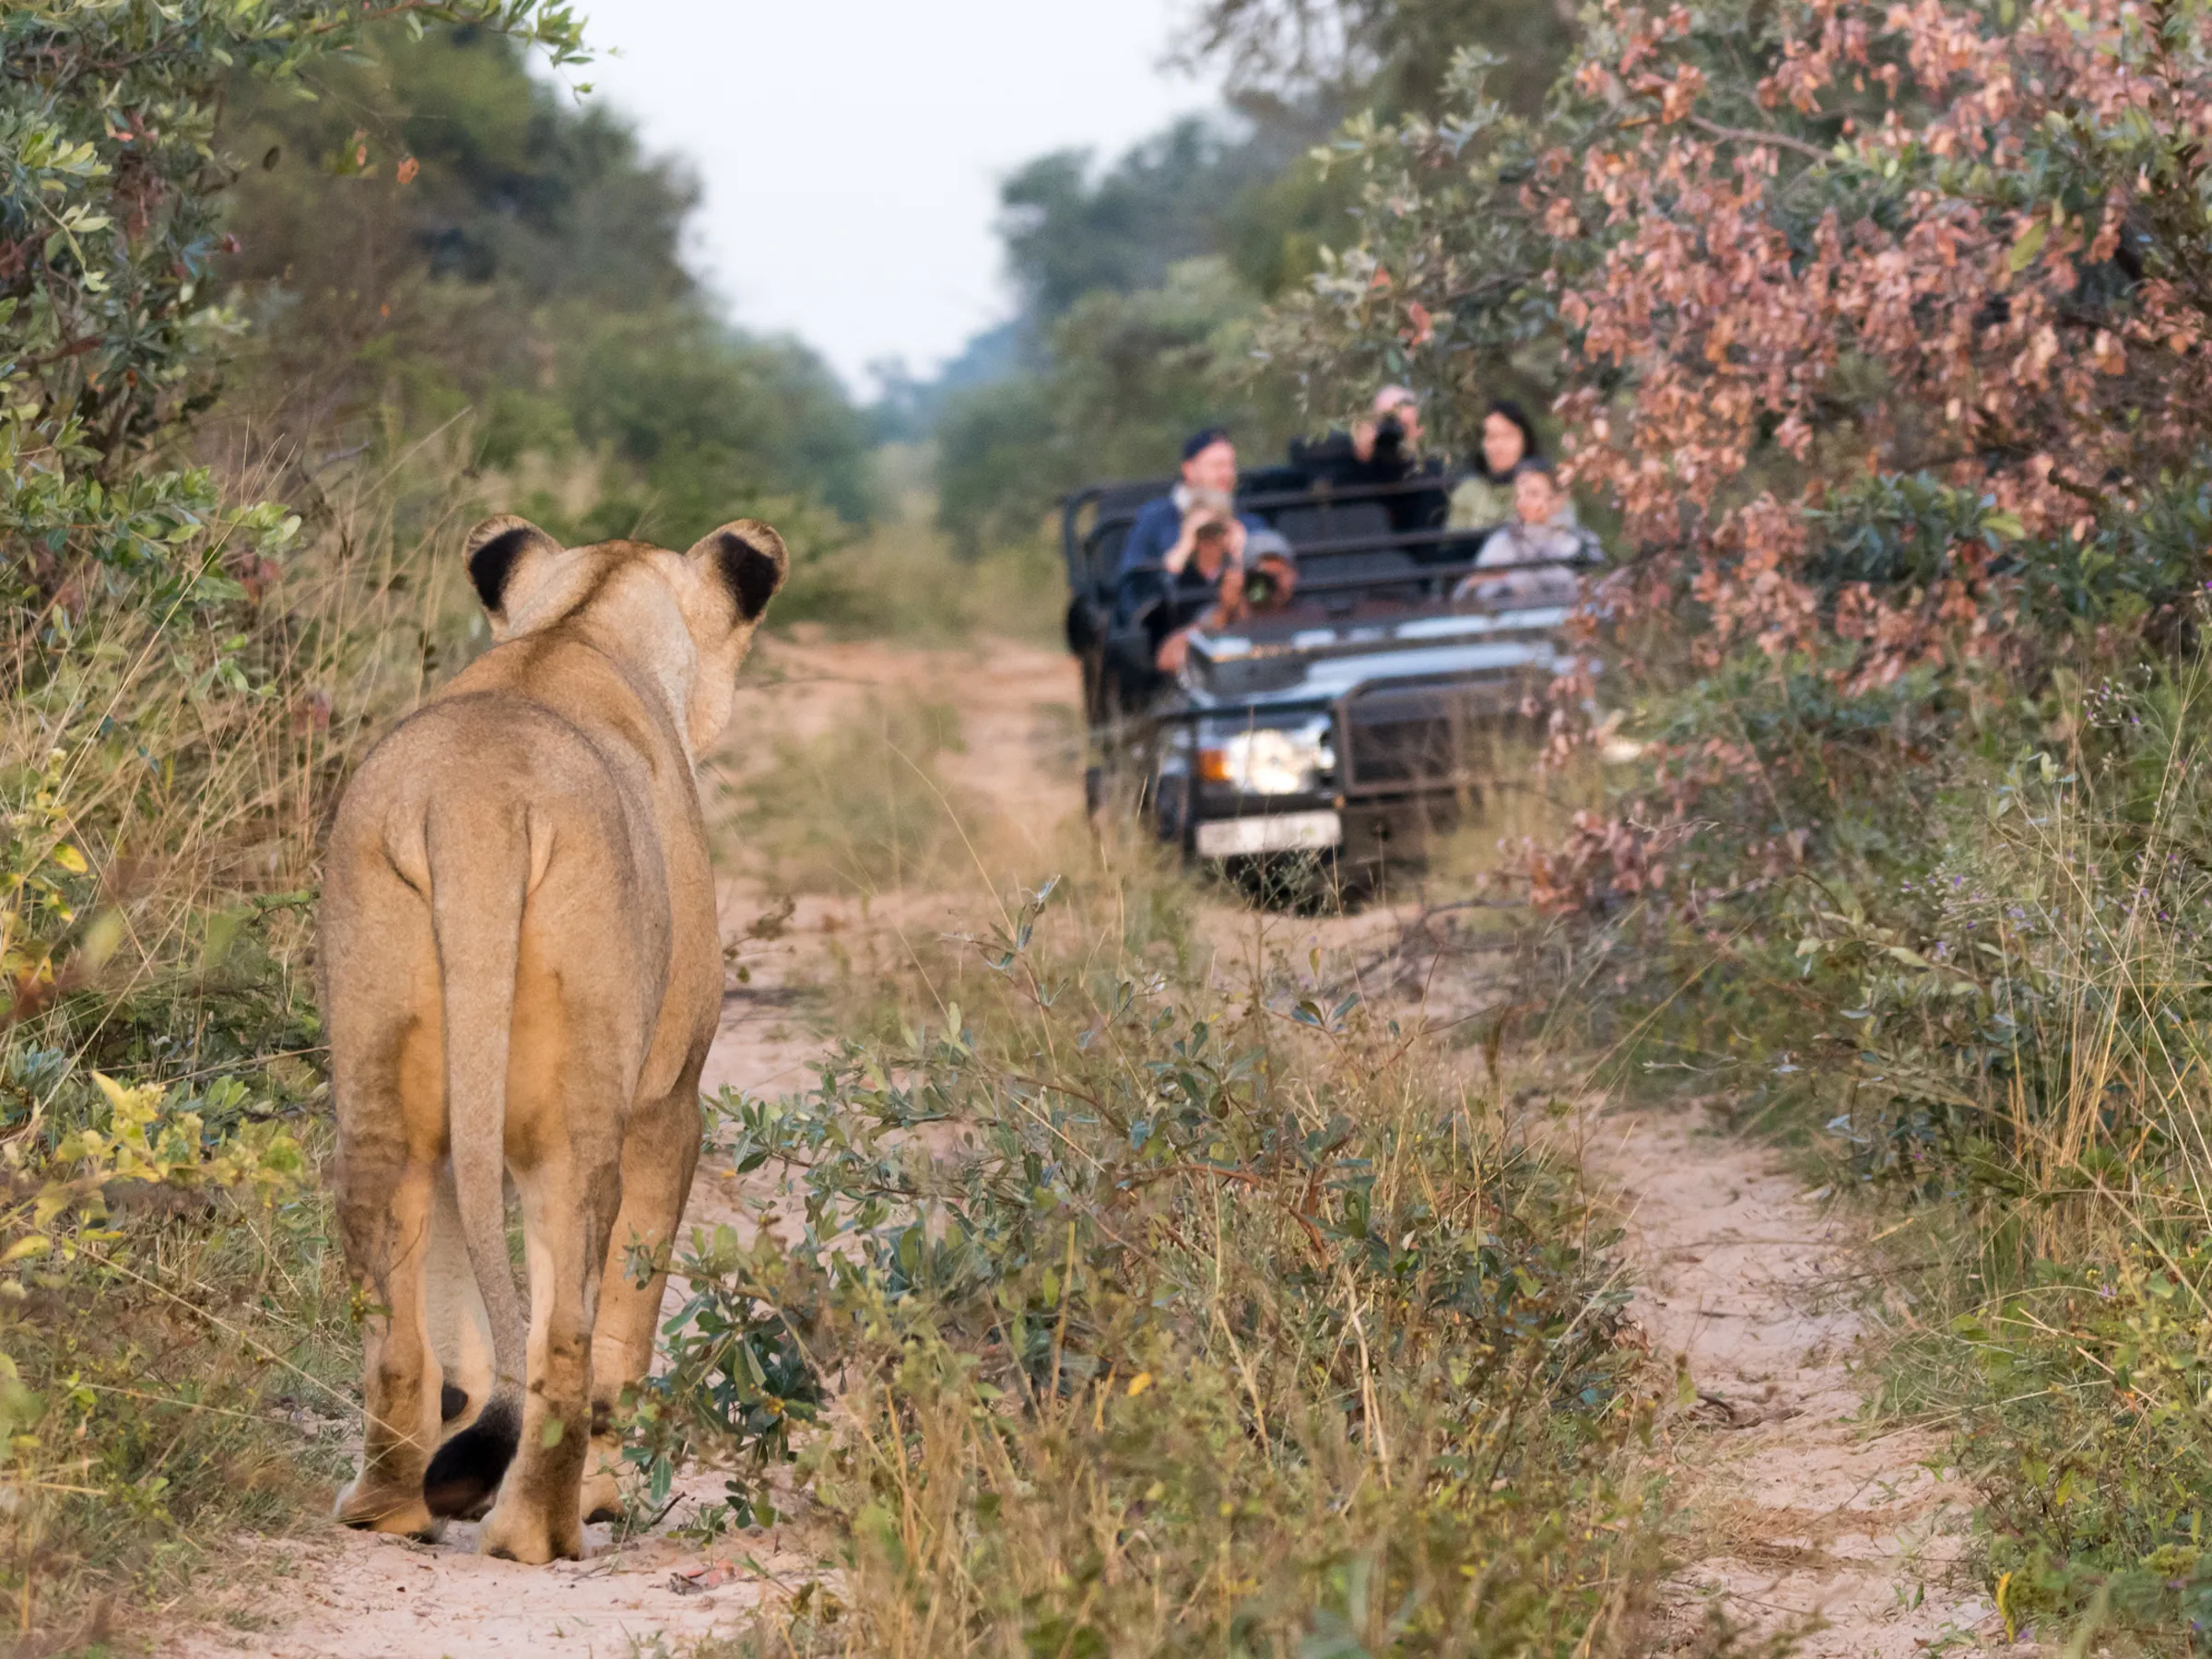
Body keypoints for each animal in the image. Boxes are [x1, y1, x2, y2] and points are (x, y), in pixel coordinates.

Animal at [319, 514, 786, 1563]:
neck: (581, 622)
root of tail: (476, 801)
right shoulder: (669, 1104)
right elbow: (628, 1326)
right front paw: (611, 1496)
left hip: (380, 1092)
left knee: (398, 1329)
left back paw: (392, 1506)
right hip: (583, 1122)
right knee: (569, 1334)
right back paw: (544, 1529)